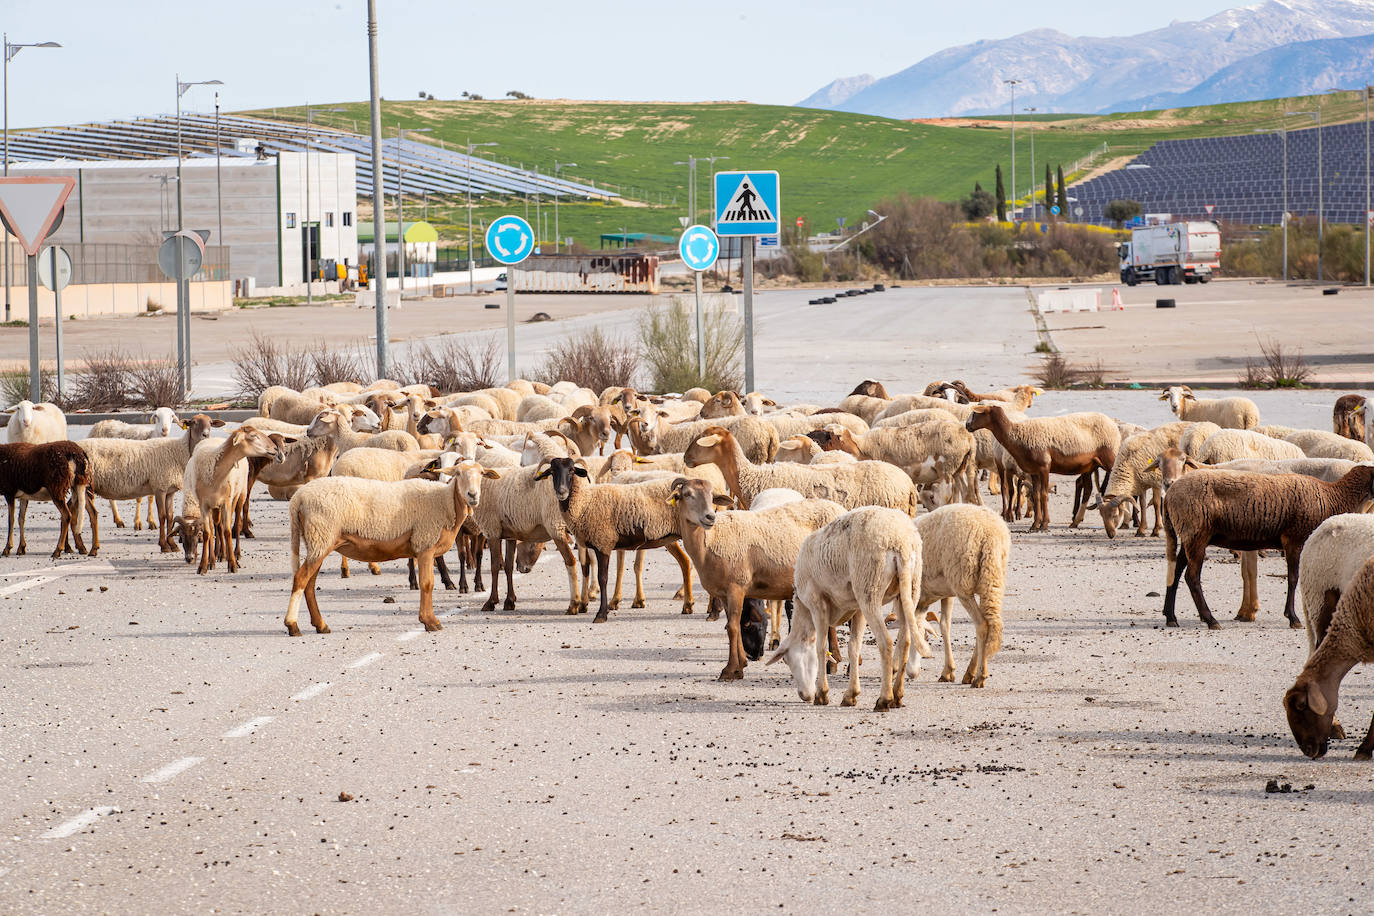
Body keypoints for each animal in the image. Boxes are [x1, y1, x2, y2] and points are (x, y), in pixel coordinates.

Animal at [763, 505, 923, 714]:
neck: (804, 610)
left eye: (787, 660)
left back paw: (884, 700)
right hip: (909, 587)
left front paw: (822, 694)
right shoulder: (857, 609)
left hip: (869, 586)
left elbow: (821, 647)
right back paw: (897, 696)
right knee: (905, 641)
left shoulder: (817, 603)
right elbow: (854, 647)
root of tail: (901, 542)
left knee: (886, 643)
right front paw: (850, 695)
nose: (804, 696)